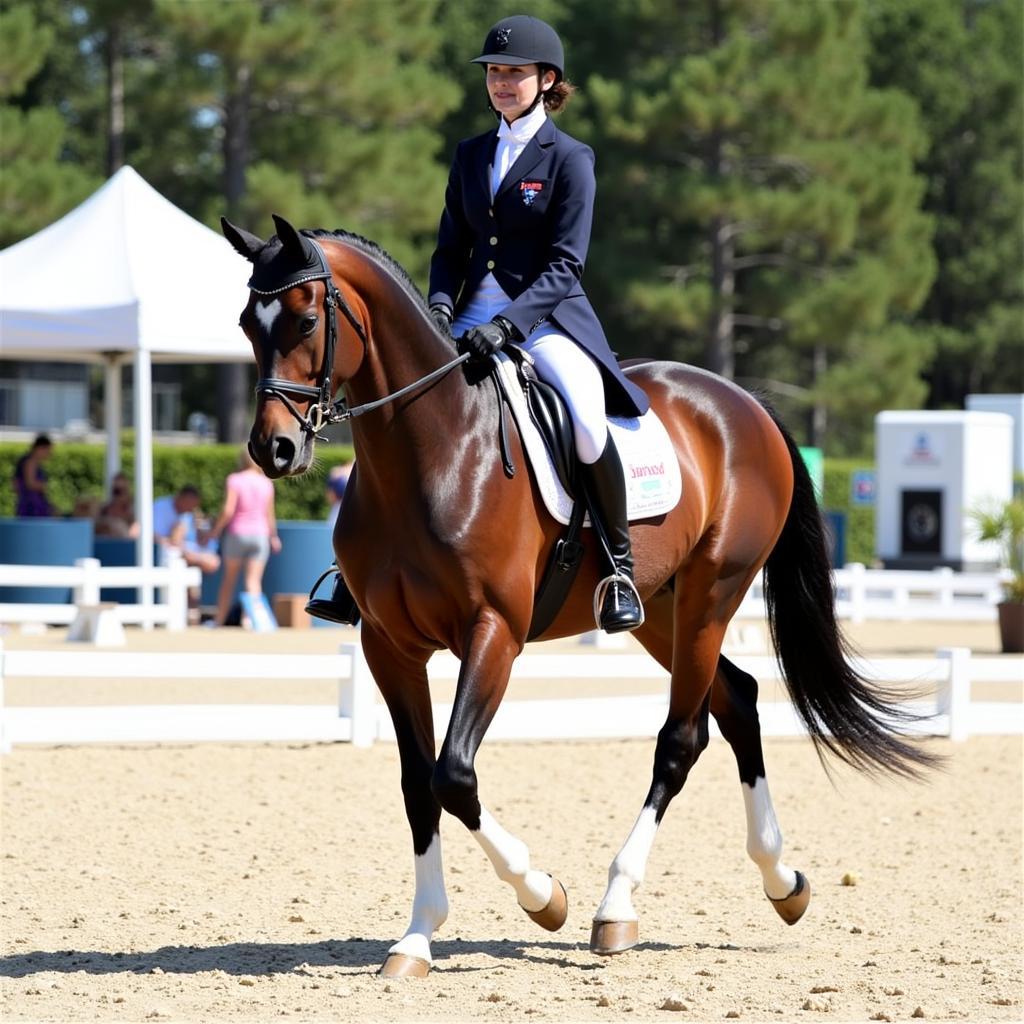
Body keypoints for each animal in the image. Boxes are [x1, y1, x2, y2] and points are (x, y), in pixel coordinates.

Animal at [220, 214, 933, 974]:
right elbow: (419, 783)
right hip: (658, 609)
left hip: (713, 592)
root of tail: (743, 401)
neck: (432, 451)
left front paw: (544, 896)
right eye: (247, 323)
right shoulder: (389, 645)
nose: (274, 451)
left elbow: (454, 775)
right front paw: (416, 937)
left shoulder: (493, 631)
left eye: (305, 319)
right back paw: (783, 882)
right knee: (737, 700)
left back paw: (616, 907)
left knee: (681, 738)